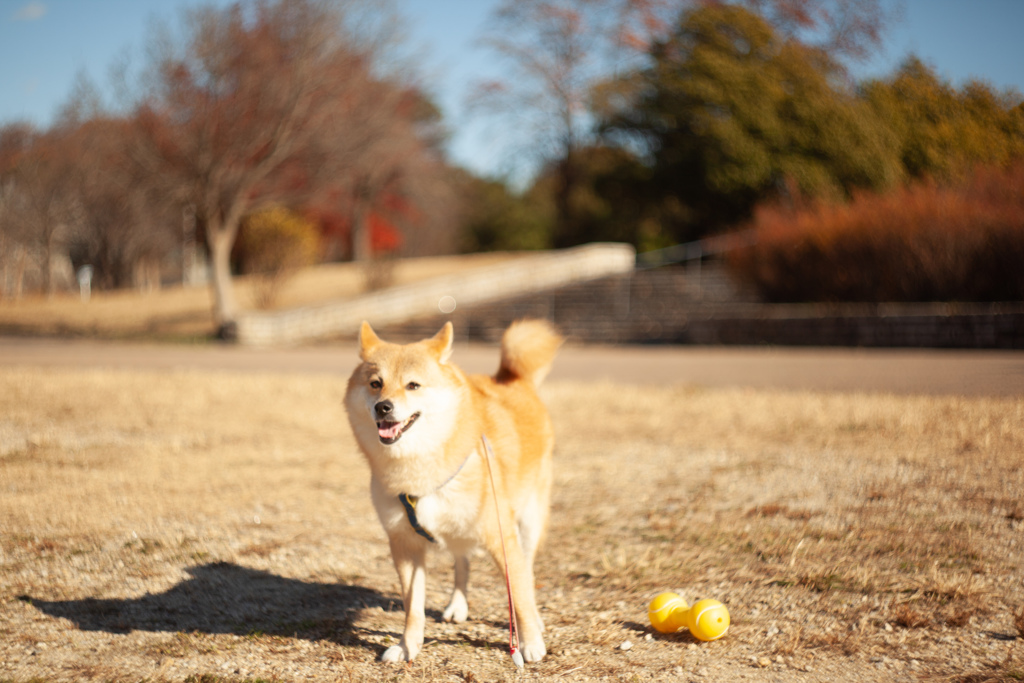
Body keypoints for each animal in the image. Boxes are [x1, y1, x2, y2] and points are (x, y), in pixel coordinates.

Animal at [348, 319, 565, 663]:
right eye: (375, 383)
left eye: (413, 385)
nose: (383, 407)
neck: (419, 468)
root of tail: (512, 380)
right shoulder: (404, 543)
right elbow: (413, 607)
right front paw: (407, 646)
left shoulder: (501, 534)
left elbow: (518, 593)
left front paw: (530, 642)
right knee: (462, 562)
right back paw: (457, 605)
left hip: (529, 521)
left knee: (526, 571)